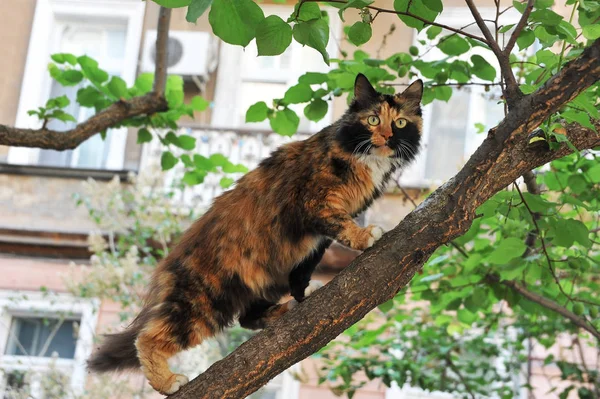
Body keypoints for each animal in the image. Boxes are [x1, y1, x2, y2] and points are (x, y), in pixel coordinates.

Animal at [86, 73, 424, 396]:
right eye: (373, 120)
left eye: (400, 123)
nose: (387, 137)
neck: (367, 159)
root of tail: (172, 260)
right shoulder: (316, 205)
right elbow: (342, 225)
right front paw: (366, 236)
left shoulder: (316, 240)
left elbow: (303, 272)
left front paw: (303, 295)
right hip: (206, 300)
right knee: (148, 337)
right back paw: (167, 381)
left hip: (261, 281)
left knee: (246, 318)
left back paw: (285, 308)